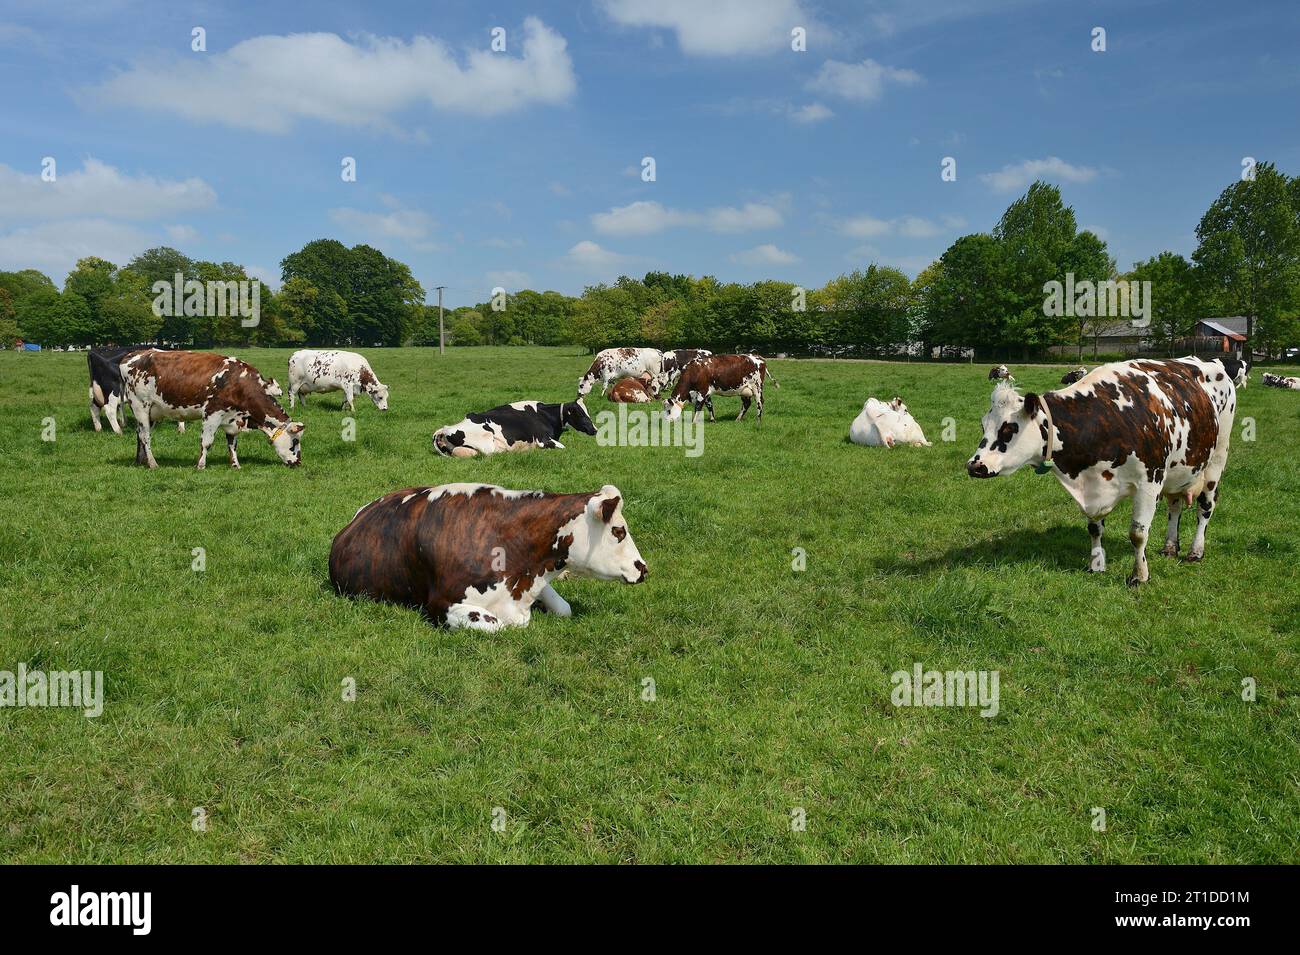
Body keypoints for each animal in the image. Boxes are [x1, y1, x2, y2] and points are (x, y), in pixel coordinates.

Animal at [121, 350, 304, 470]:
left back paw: (141, 460)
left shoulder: (233, 418)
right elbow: (206, 442)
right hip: (140, 406)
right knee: (145, 436)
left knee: (140, 435)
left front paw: (235, 464)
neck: (239, 384)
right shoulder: (212, 413)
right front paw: (201, 465)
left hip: (151, 413)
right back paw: (152, 463)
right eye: (295, 442)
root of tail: (134, 355)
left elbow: (232, 444)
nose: (298, 462)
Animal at [436, 394, 598, 454]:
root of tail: (444, 429)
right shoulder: (542, 440)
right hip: (487, 446)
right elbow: (563, 447)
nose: (595, 430)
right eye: (581, 413)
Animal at [967, 356, 1237, 587]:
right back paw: (1170, 547)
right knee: (1175, 505)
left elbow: (1138, 533)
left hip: (1217, 457)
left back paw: (1196, 551)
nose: (974, 465)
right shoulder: (1093, 485)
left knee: (1206, 506)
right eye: (983, 425)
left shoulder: (1150, 482)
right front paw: (1096, 564)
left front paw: (1139, 575)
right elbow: (1094, 528)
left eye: (1008, 428)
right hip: (1179, 470)